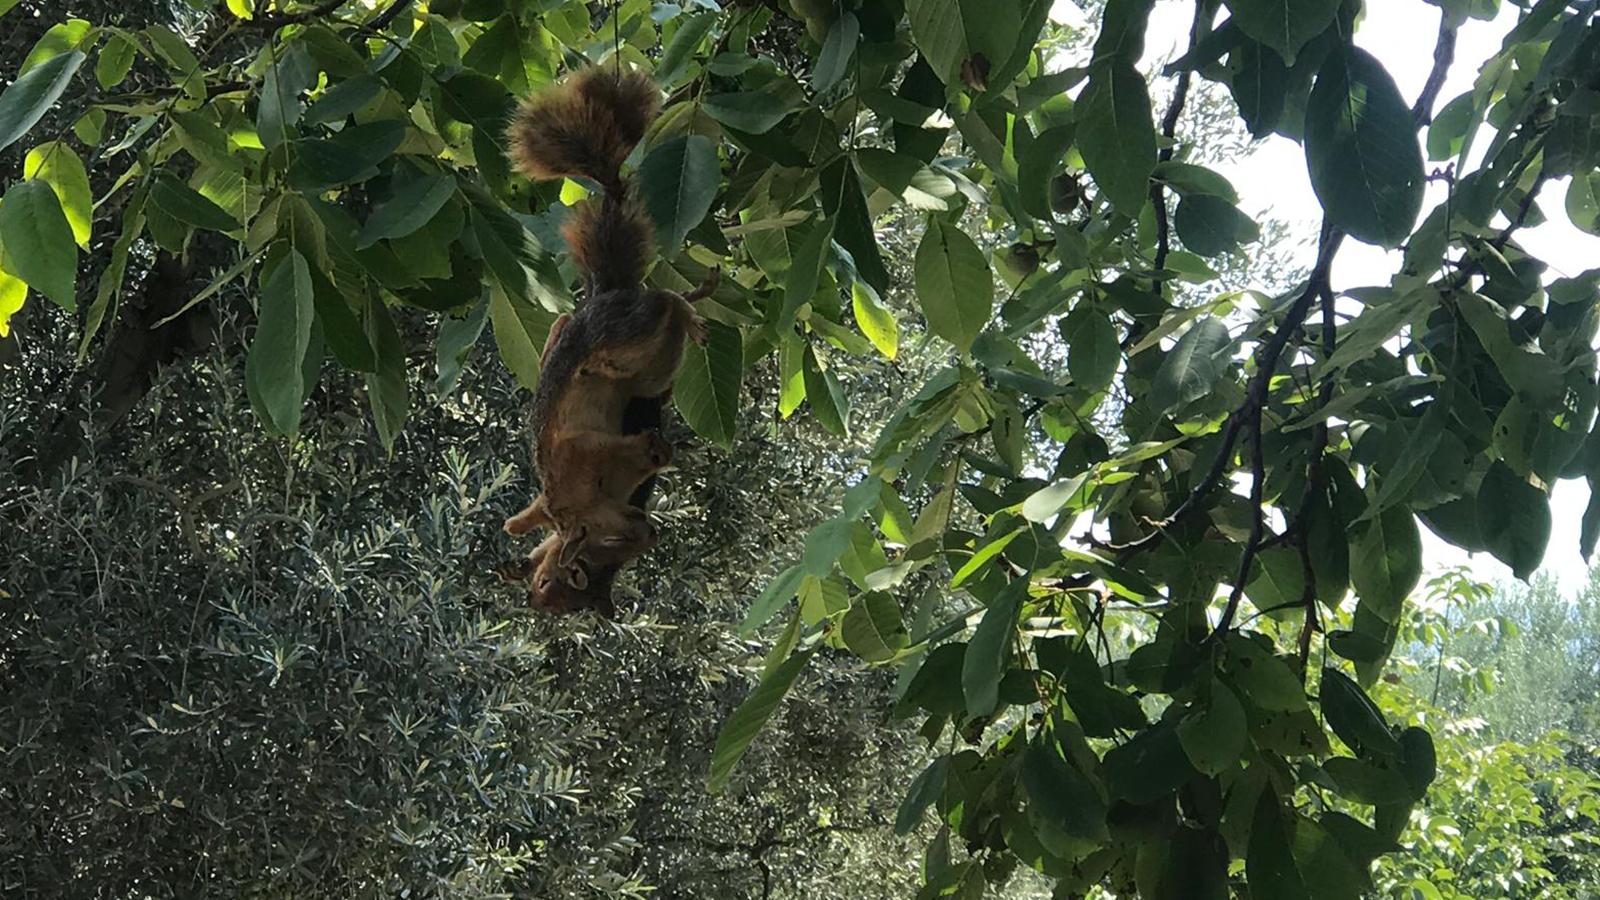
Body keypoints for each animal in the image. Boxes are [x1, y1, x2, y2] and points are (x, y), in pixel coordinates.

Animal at [502, 66, 723, 605]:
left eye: (558, 584)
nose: (649, 534)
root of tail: (604, 299)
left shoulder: (585, 457)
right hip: (630, 358)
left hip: (628, 345)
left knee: (661, 303)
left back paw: (691, 308)